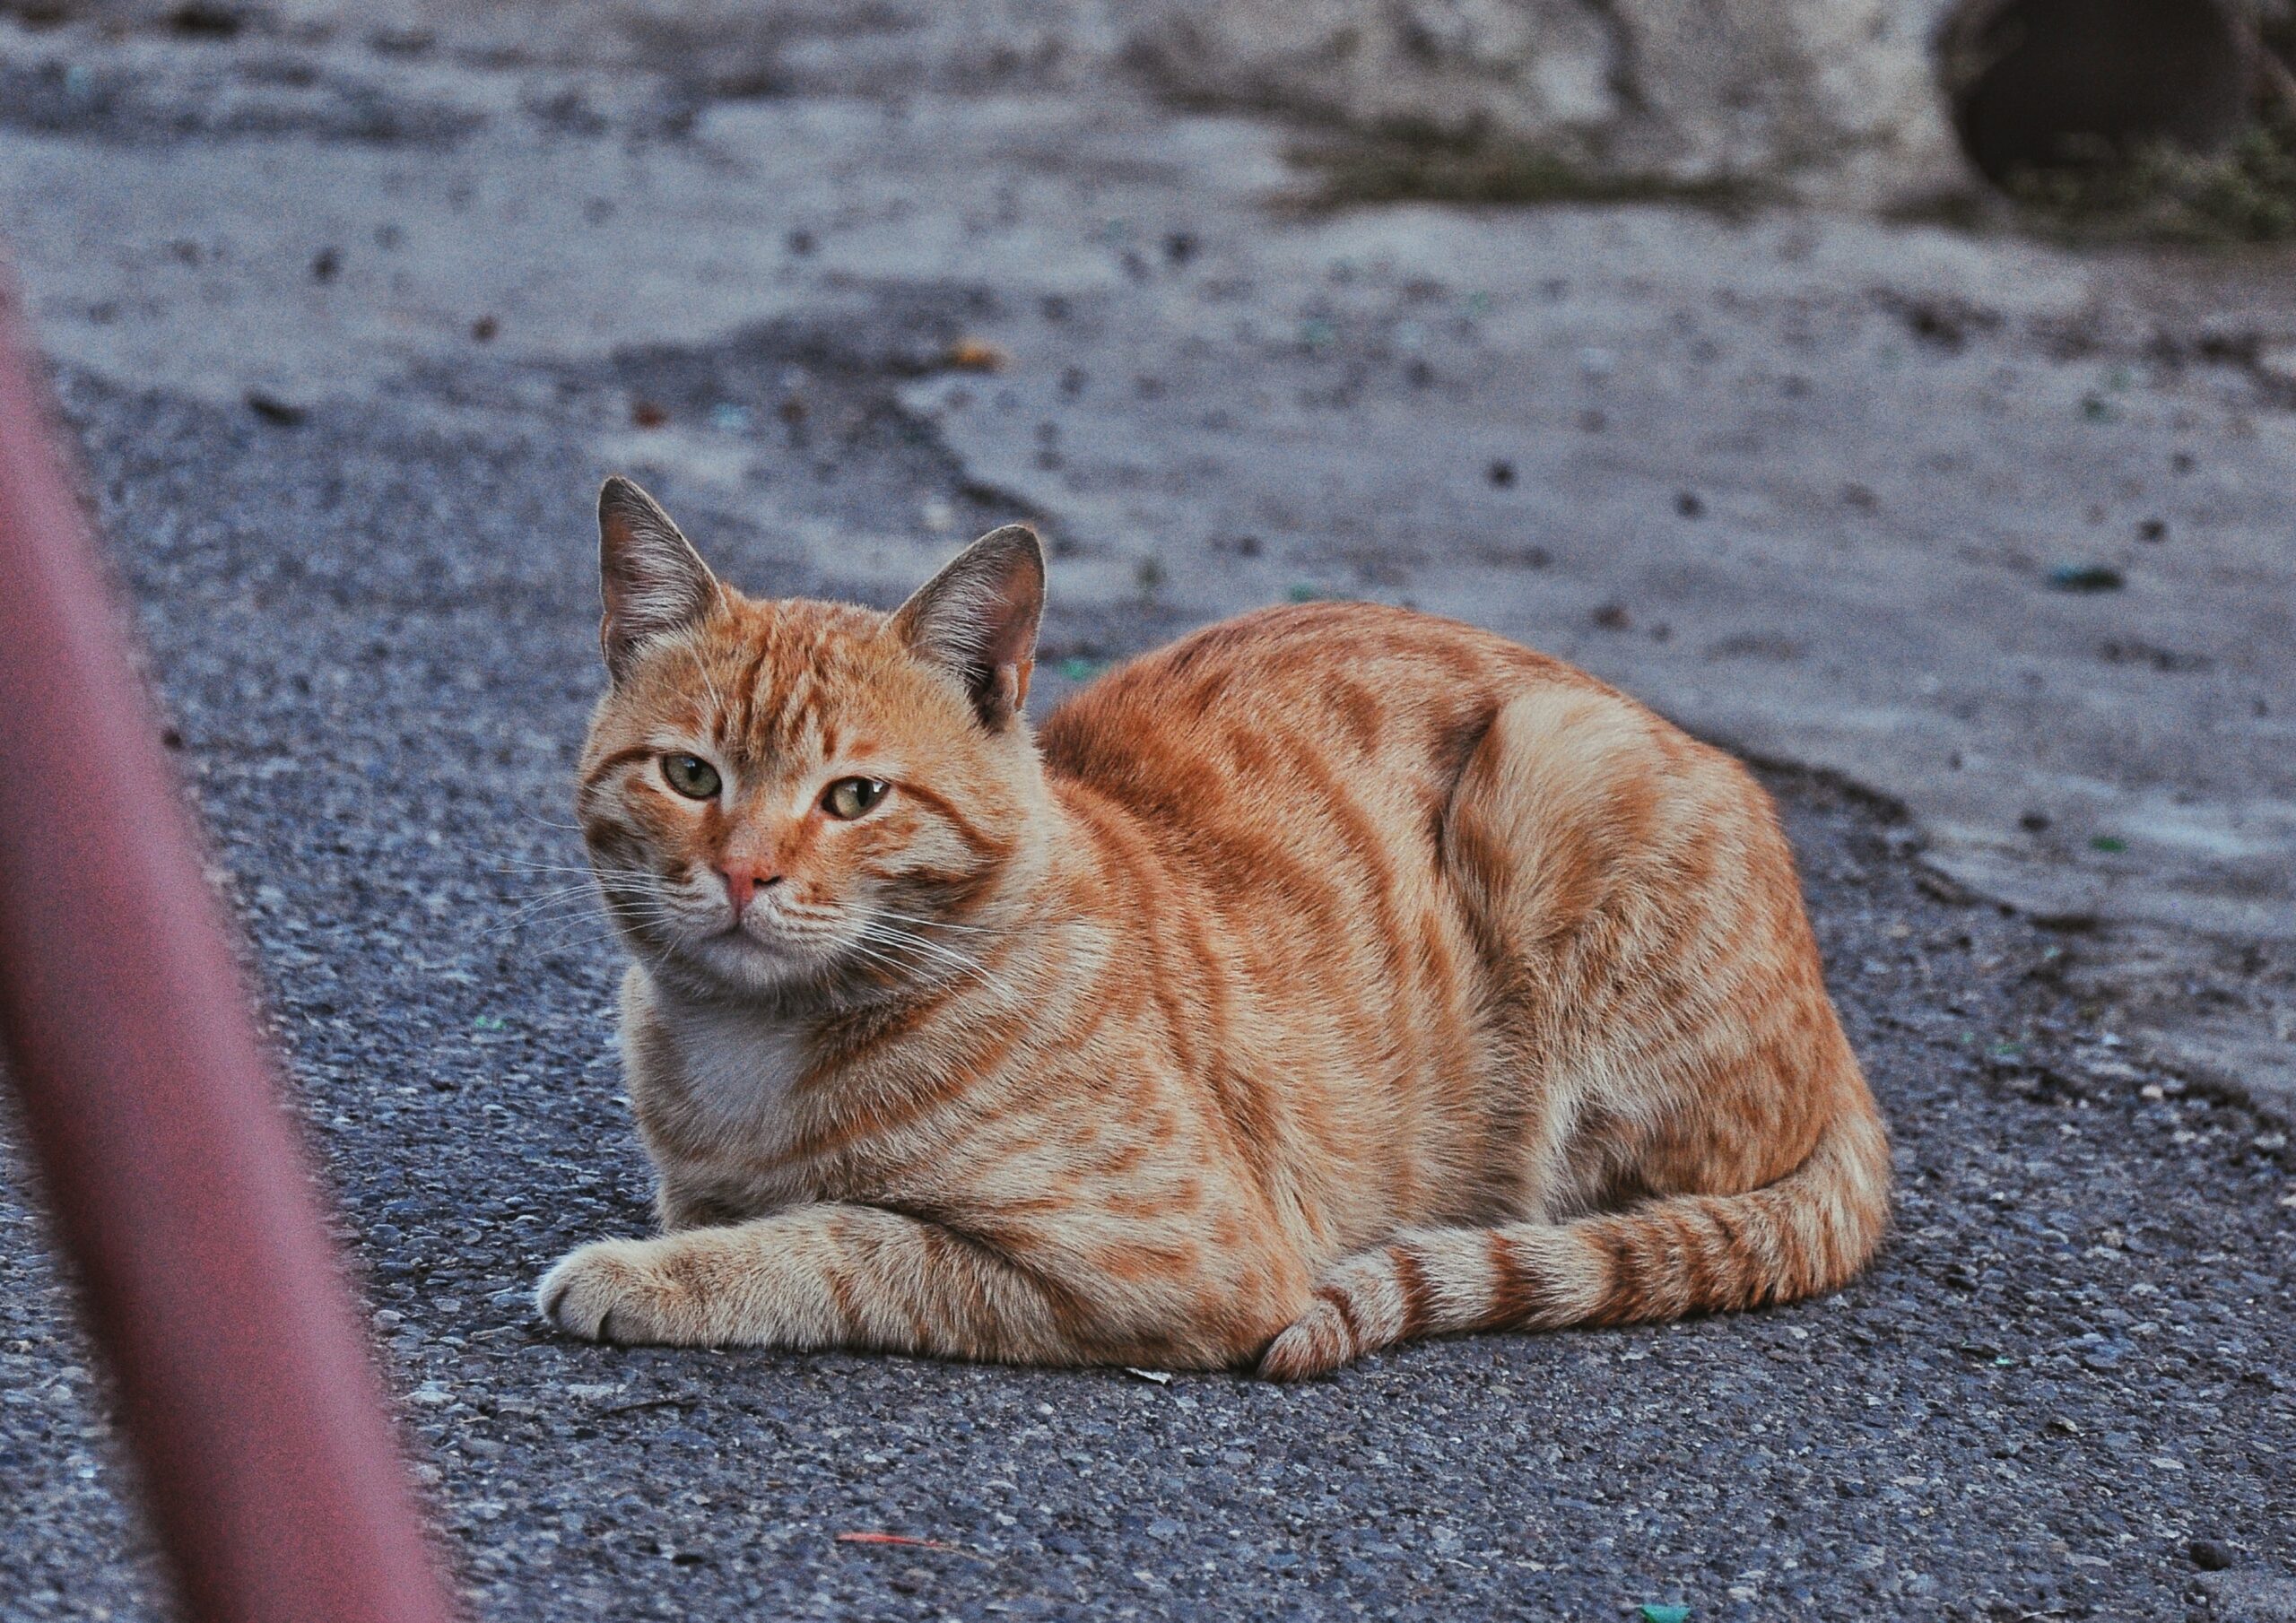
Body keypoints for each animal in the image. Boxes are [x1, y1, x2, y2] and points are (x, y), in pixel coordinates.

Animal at [532, 474, 1883, 1377]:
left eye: (854, 796)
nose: (744, 873)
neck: (754, 1050)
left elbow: (843, 1243)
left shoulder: (1174, 1260)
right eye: (692, 776)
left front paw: (646, 1276)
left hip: (1557, 777)